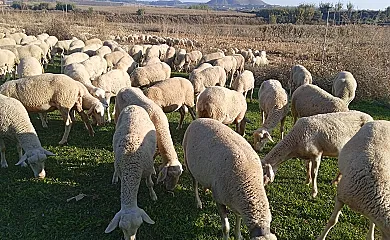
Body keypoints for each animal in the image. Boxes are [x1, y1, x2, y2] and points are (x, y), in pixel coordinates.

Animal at [106, 106, 158, 240]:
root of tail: (133, 106)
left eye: (139, 226)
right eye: (121, 228)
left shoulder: (147, 168)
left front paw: (153, 195)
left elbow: (150, 183)